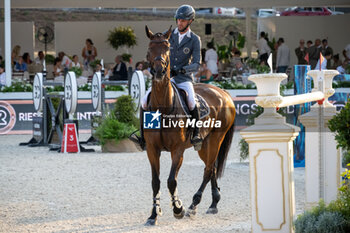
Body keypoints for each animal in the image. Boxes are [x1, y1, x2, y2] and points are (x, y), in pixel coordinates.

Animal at [144, 26, 237, 226]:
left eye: (167, 48)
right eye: (149, 49)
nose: (159, 71)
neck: (163, 107)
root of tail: (223, 92)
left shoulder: (177, 150)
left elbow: (171, 181)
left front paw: (178, 208)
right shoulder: (152, 149)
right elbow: (155, 182)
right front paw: (153, 215)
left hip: (215, 139)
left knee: (208, 170)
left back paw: (194, 205)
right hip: (203, 144)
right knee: (212, 168)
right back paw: (213, 204)